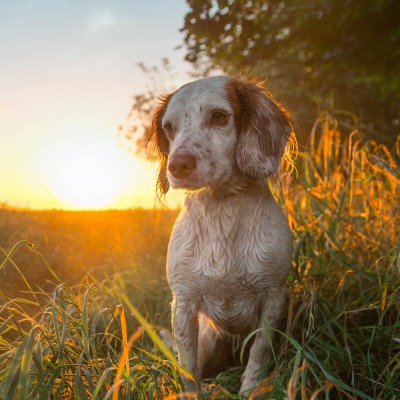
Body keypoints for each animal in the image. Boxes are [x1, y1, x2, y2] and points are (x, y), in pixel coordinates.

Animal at [150, 75, 294, 394]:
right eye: (169, 127)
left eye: (219, 116)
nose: (177, 166)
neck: (222, 207)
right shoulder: (183, 303)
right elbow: (188, 369)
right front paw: (192, 394)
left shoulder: (274, 297)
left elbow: (259, 352)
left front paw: (250, 389)